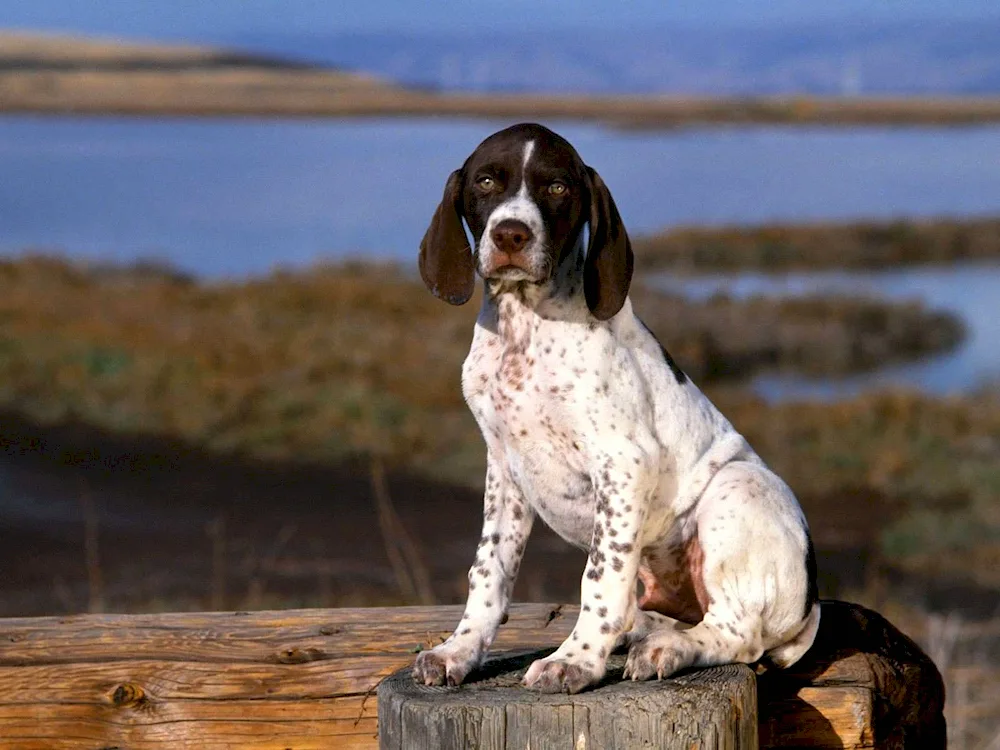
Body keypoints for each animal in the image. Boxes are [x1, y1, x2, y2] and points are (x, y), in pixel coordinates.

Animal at [410, 122, 816, 692]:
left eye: (557, 187)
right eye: (486, 181)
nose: (511, 235)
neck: (524, 325)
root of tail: (811, 608)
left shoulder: (624, 462)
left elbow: (600, 576)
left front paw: (575, 660)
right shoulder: (504, 468)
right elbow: (488, 571)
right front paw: (459, 650)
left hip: (738, 487)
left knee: (738, 633)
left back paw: (668, 649)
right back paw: (646, 634)